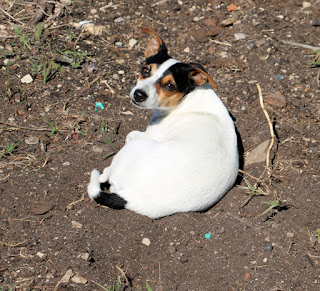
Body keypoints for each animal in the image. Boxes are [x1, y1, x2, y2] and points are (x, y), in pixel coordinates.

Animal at [87, 26, 238, 219]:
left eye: (169, 86)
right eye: (145, 70)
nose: (139, 94)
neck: (188, 97)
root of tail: (133, 199)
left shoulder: (149, 135)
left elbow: (131, 134)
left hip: (133, 150)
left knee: (105, 175)